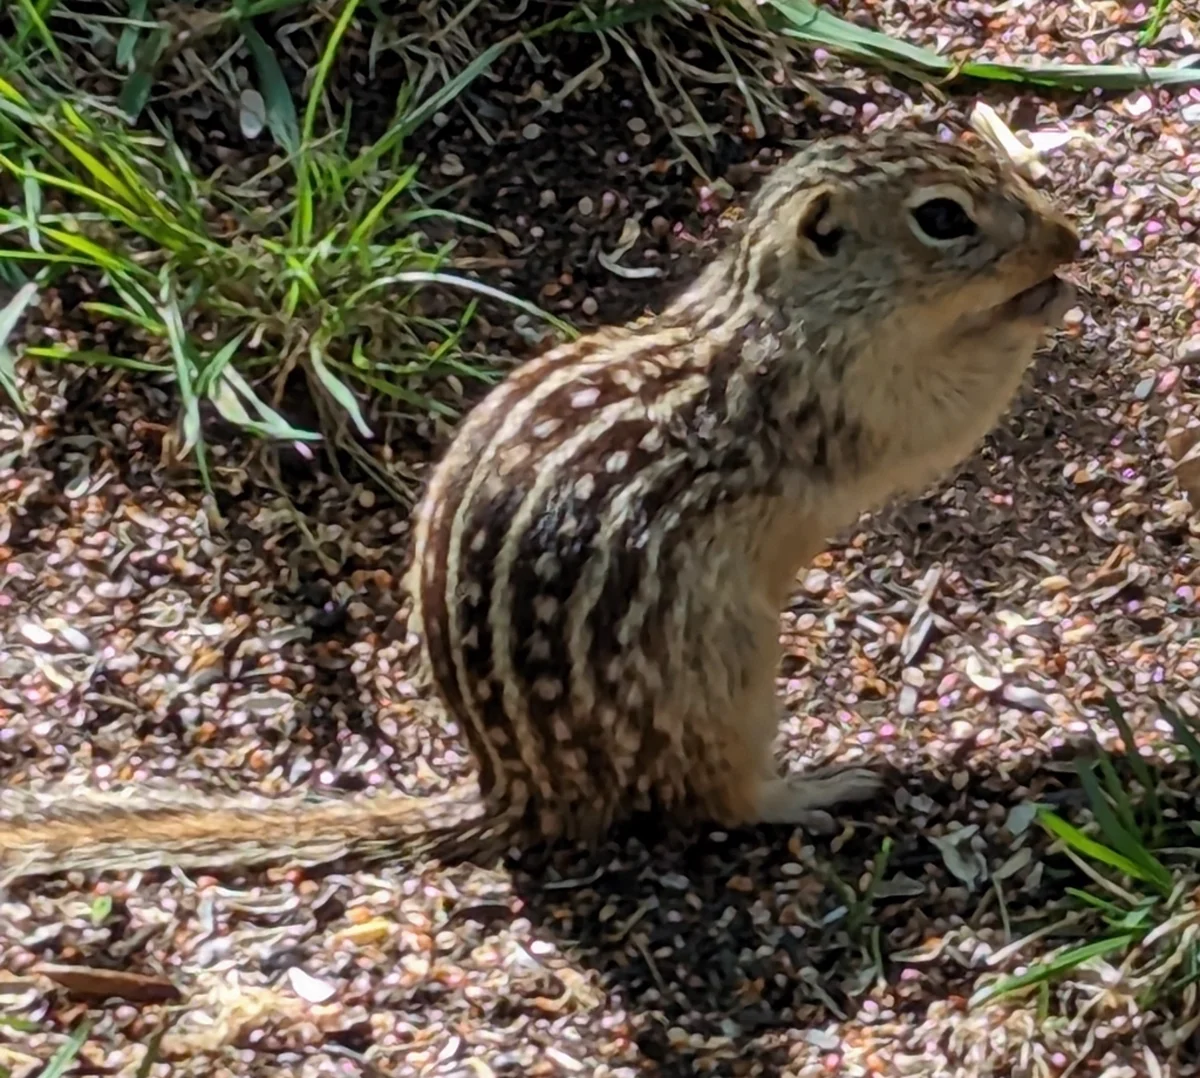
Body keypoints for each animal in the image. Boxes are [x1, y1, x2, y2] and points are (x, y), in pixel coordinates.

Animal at [0, 126, 1080, 883]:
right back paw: (818, 786)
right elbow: (946, 416)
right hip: (722, 676)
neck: (783, 309)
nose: (1066, 233)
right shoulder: (846, 405)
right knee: (710, 802)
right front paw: (1039, 303)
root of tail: (516, 788)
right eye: (944, 217)